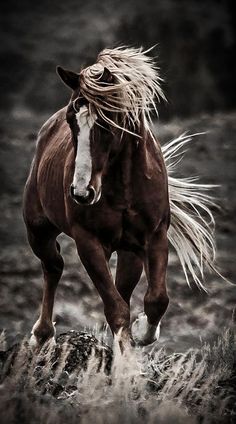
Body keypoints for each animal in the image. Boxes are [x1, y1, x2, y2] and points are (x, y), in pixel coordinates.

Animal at [23, 48, 217, 350]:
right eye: (71, 120)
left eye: (105, 122)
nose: (81, 193)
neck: (123, 187)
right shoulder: (88, 242)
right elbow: (115, 309)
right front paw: (126, 356)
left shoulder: (154, 237)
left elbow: (156, 300)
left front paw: (141, 332)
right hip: (38, 230)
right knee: (53, 267)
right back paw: (42, 334)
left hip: (128, 252)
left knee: (121, 288)